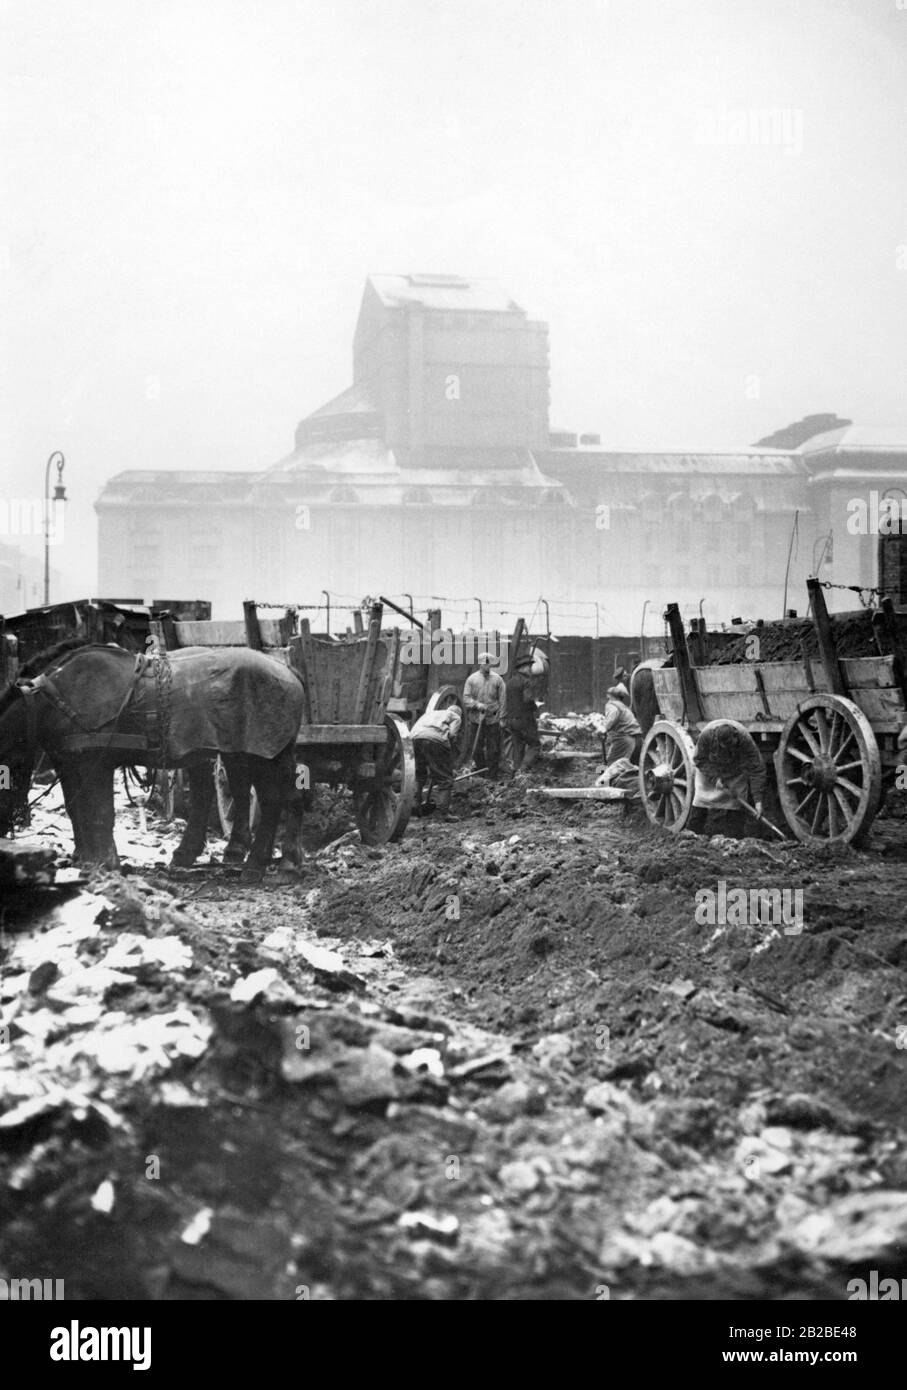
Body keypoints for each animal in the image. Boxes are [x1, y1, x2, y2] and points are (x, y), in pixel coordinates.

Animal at [0, 639, 304, 878]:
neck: (56, 697)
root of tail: (286, 670)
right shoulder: (69, 764)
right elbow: (77, 811)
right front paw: (84, 858)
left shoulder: (94, 763)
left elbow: (101, 814)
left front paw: (106, 863)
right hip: (259, 753)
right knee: (286, 795)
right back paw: (286, 860)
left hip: (262, 755)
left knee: (271, 800)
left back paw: (258, 864)